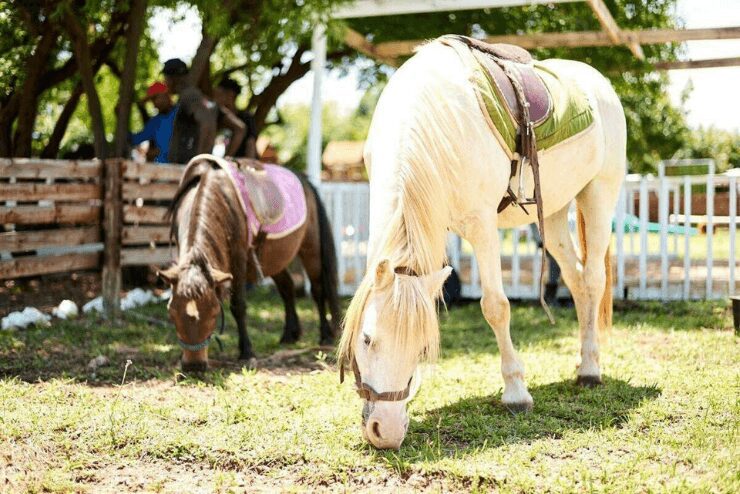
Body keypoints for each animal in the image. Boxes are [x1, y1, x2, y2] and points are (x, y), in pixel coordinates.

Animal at [159, 157, 342, 370]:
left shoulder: (239, 259)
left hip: (311, 248)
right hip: (272, 259)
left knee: (318, 289)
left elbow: (238, 305)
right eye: (172, 314)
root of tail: (304, 179)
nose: (194, 366)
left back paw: (326, 335)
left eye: (213, 314)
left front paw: (246, 351)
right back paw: (290, 334)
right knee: (287, 288)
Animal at [338, 36, 628, 450]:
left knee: (592, 281)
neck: (428, 116)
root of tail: (599, 82)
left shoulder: (482, 225)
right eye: (366, 339)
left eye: (422, 347)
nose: (386, 432)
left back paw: (590, 369)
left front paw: (516, 393)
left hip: (598, 194)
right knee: (574, 280)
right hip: (555, 212)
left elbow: (496, 307)